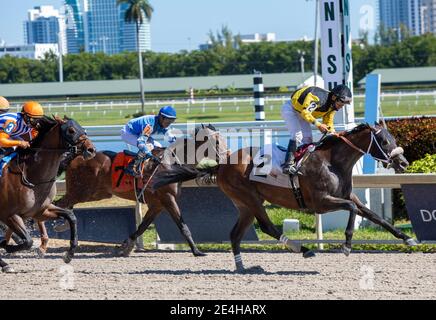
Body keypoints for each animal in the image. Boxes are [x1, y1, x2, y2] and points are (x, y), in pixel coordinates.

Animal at [0, 116, 95, 272]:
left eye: (83, 128)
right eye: (71, 130)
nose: (91, 149)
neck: (32, 176)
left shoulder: (40, 211)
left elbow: (71, 216)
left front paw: (68, 255)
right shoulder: (10, 215)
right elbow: (27, 241)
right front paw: (6, 245)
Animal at [50, 124, 228, 256]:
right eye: (217, 142)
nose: (228, 158)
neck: (171, 164)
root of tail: (76, 157)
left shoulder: (157, 204)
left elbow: (142, 226)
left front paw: (125, 246)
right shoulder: (168, 198)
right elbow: (182, 226)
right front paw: (197, 251)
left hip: (96, 193)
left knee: (64, 204)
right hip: (81, 191)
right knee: (60, 203)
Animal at [152, 122, 416, 272]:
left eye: (393, 137)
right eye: (383, 140)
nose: (403, 162)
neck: (333, 162)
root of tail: (222, 164)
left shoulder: (347, 196)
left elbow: (373, 215)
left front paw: (407, 238)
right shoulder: (320, 203)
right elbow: (351, 208)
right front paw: (347, 245)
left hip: (245, 205)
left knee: (235, 234)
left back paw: (242, 268)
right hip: (250, 198)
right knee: (267, 227)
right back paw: (303, 248)